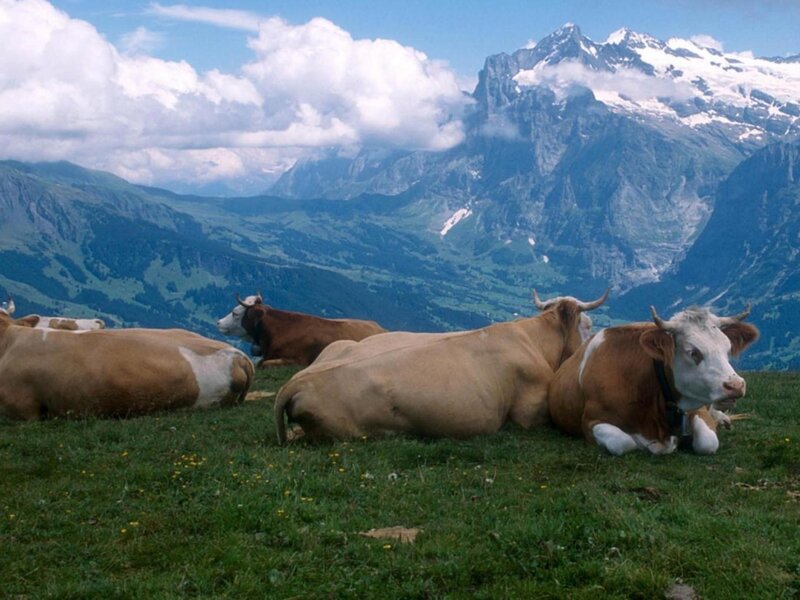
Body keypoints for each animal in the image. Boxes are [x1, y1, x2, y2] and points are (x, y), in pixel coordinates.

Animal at [547, 305, 759, 456]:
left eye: (727, 347)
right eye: (693, 352)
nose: (736, 385)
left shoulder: (694, 409)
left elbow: (708, 442)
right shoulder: (591, 421)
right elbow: (623, 443)